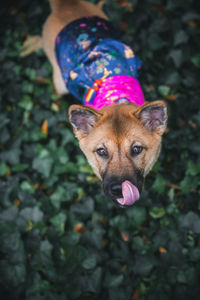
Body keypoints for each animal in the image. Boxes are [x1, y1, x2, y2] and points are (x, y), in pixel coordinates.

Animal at [42, 0, 167, 206]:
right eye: (101, 151)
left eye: (136, 149)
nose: (119, 190)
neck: (117, 96)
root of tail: (67, 4)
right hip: (59, 82)